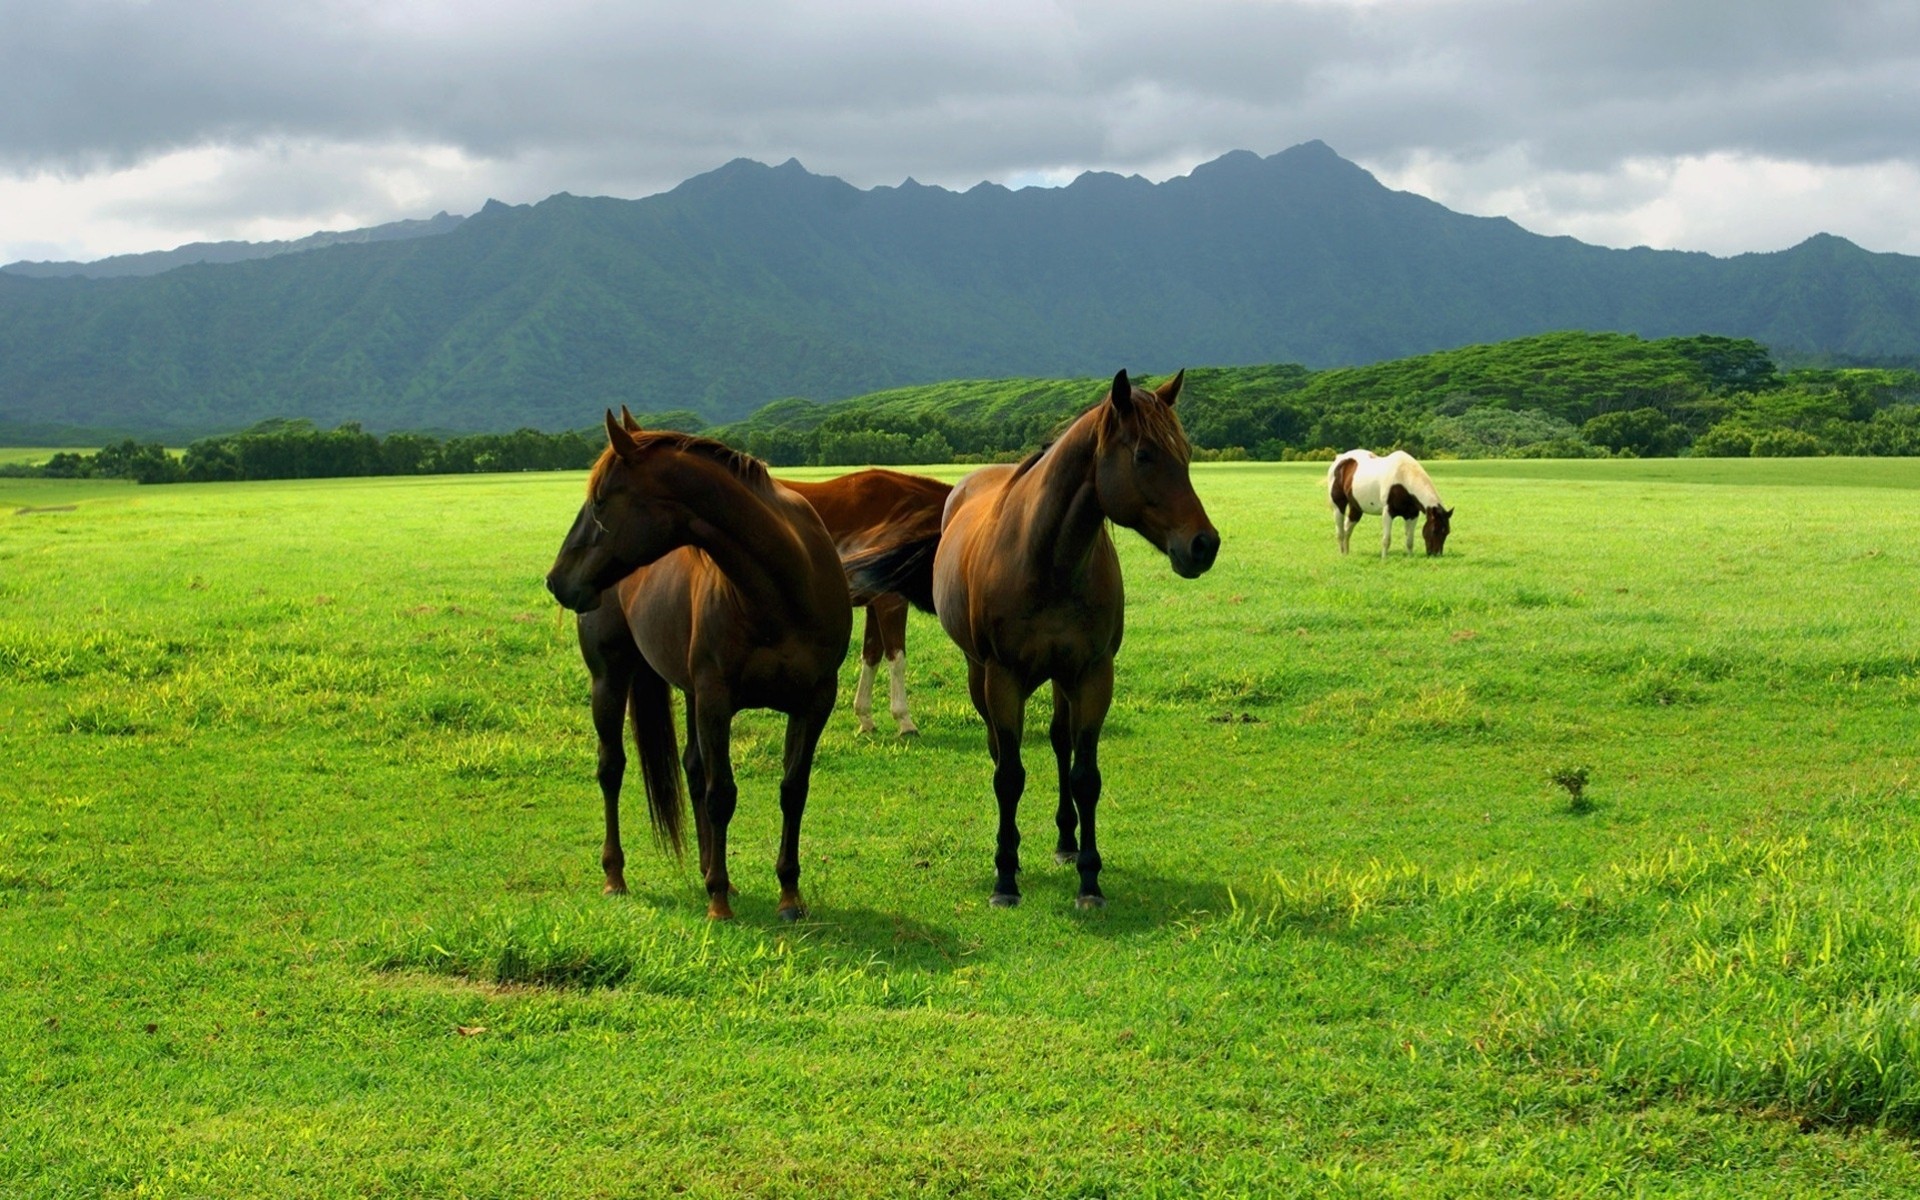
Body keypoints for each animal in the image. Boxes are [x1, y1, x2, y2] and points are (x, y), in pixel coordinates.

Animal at [545, 413, 852, 921]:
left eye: (600, 500)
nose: (556, 581)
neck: (782, 589)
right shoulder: (716, 700)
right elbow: (721, 793)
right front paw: (719, 902)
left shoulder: (814, 702)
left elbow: (793, 790)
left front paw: (789, 895)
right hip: (610, 680)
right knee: (612, 769)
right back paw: (616, 876)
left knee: (691, 767)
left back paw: (709, 866)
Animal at [779, 469, 953, 736]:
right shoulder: (891, 602)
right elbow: (896, 658)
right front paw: (904, 721)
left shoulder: (874, 604)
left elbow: (872, 656)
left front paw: (865, 718)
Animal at [853, 369, 1218, 908]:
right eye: (1144, 455)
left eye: (1187, 452)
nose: (1203, 545)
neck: (1047, 560)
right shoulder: (1003, 679)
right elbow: (1009, 775)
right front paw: (1005, 877)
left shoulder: (1092, 675)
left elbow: (1085, 776)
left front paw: (1089, 877)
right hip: (980, 675)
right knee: (999, 750)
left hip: (1062, 680)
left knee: (1060, 743)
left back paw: (1066, 841)